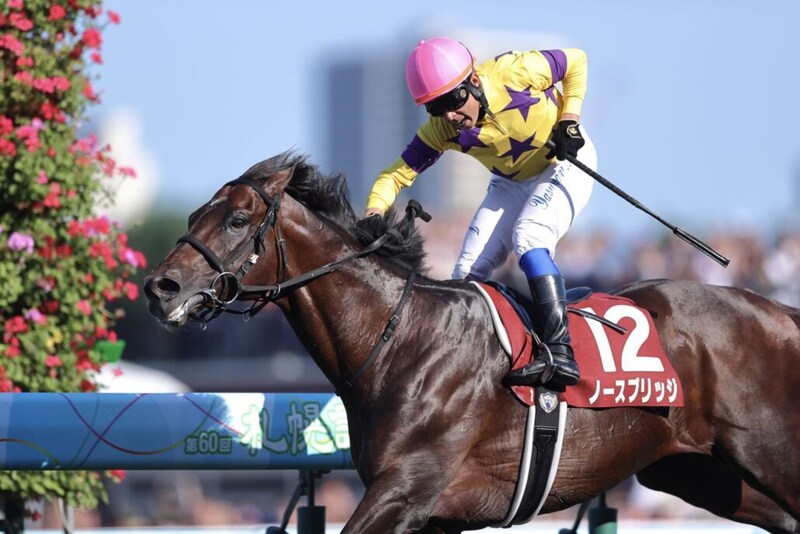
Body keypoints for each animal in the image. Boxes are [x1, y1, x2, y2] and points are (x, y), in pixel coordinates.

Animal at [143, 152, 800, 533]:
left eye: (235, 220)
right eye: (197, 213)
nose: (159, 287)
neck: (401, 339)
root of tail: (780, 313)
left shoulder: (406, 490)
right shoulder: (433, 515)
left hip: (768, 455)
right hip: (697, 473)